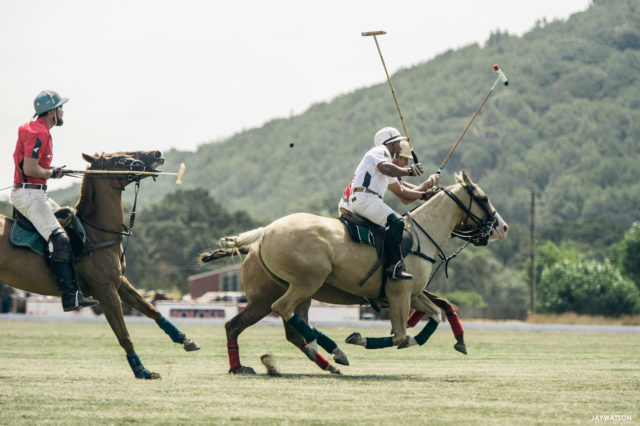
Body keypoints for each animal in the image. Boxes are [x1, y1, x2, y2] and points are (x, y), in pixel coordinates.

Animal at [0, 151, 199, 378]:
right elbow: (124, 334)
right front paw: (141, 370)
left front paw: (184, 339)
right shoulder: (104, 290)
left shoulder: (118, 281)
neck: (97, 232)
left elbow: (151, 308)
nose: (157, 154)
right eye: (120, 160)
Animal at [202, 170, 508, 372]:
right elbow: (401, 335)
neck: (422, 235)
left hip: (274, 296)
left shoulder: (413, 292)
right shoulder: (399, 292)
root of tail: (264, 233)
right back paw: (331, 351)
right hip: (305, 284)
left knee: (244, 326)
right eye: (484, 198)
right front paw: (359, 338)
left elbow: (434, 315)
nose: (502, 227)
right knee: (284, 311)